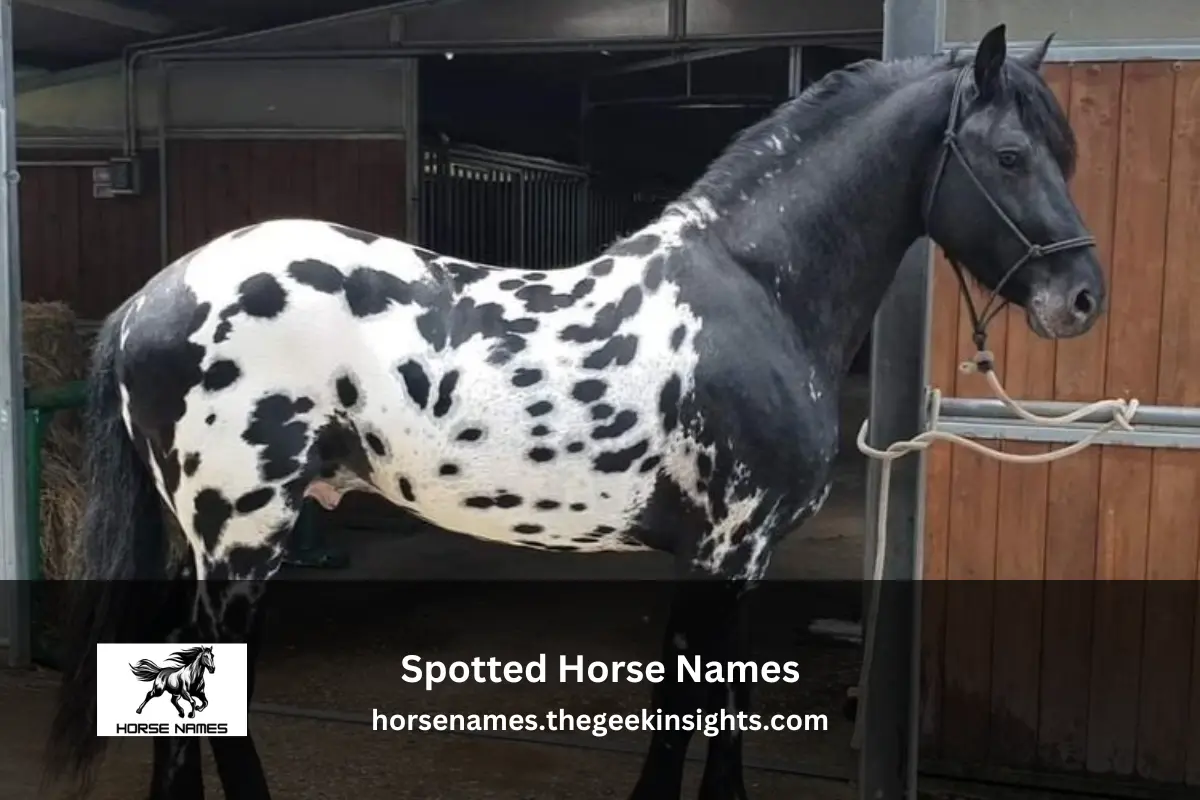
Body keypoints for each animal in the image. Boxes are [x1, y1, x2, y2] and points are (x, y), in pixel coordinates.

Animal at [46, 23, 1105, 800]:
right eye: (1011, 155)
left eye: (1065, 153)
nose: (1084, 298)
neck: (756, 289)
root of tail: (153, 297)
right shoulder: (724, 553)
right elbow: (690, 717)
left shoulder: (743, 561)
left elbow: (711, 711)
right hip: (243, 540)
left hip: (207, 540)